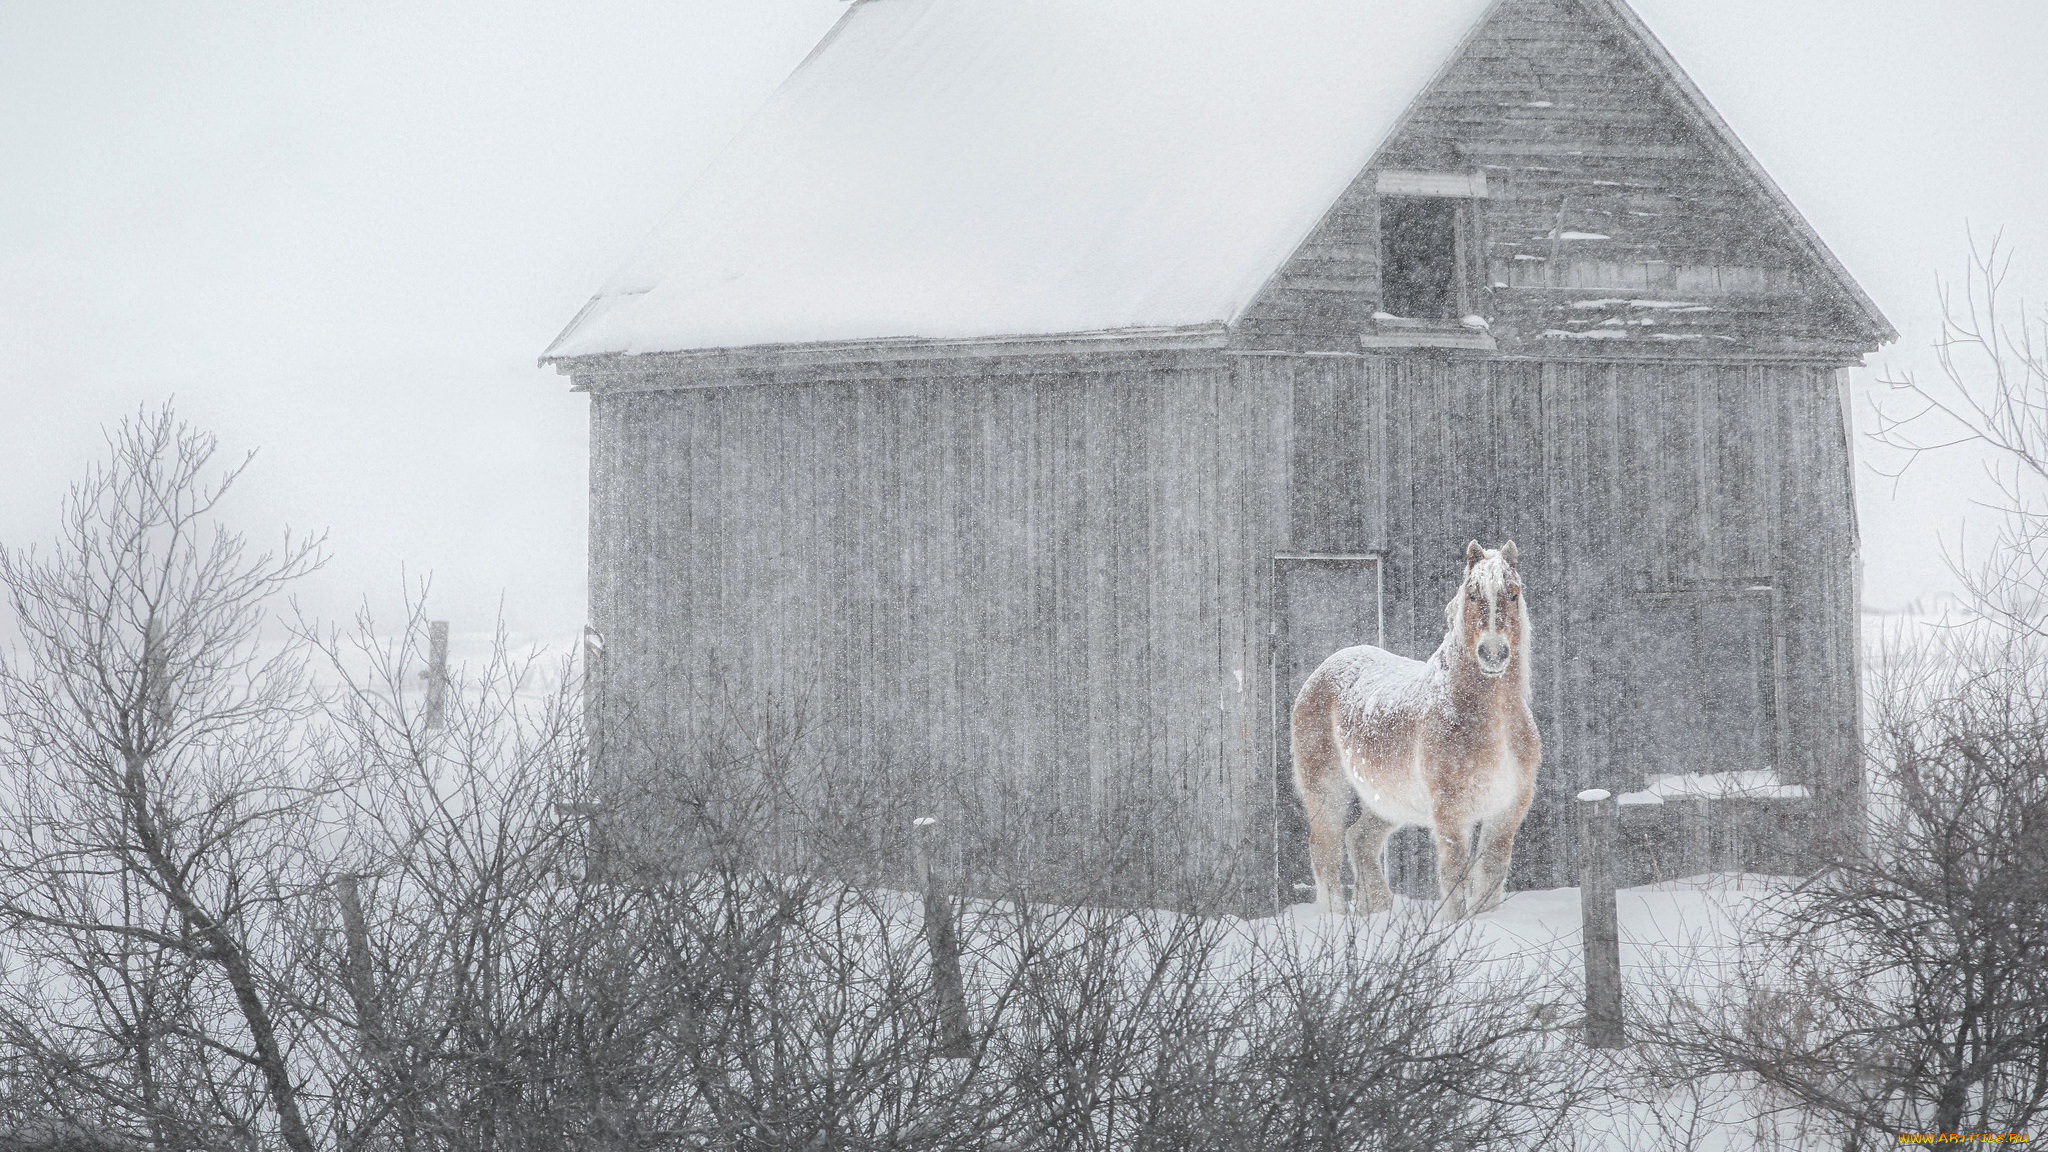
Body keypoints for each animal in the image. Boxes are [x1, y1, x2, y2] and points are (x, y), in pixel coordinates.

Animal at [1286, 537, 1540, 914]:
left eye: (1513, 593)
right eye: (1473, 594)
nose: (1493, 654)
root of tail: (1322, 671)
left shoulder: (1507, 811)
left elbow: (1491, 874)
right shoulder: (1451, 813)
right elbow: (1454, 874)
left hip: (1387, 801)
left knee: (1360, 840)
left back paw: (1378, 909)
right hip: (1326, 791)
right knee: (1326, 850)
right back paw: (1335, 916)